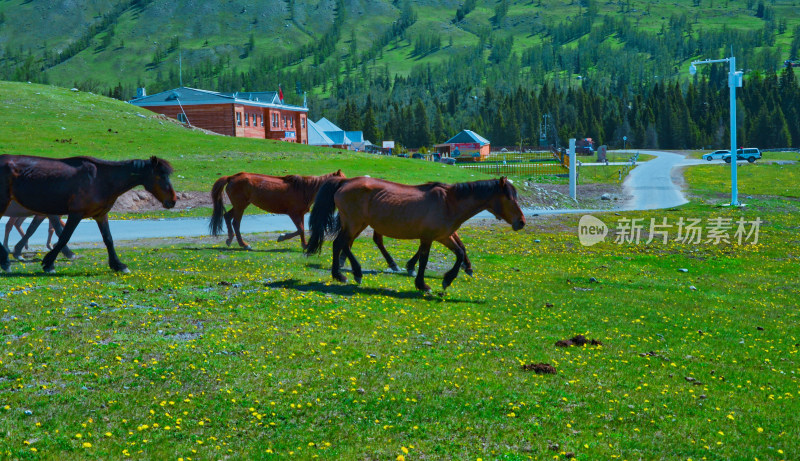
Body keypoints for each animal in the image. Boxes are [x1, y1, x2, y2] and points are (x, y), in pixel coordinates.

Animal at [0, 155, 176, 272]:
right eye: (160, 176)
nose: (173, 201)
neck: (101, 179)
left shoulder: (100, 215)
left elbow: (108, 239)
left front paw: (118, 265)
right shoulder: (76, 214)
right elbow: (64, 236)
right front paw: (49, 263)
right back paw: (6, 262)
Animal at [209, 168, 344, 248]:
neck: (305, 189)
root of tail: (231, 177)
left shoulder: (300, 214)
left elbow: (301, 230)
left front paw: (304, 244)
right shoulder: (293, 213)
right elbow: (300, 229)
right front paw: (282, 237)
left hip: (240, 205)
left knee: (227, 216)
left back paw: (230, 239)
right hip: (240, 206)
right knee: (236, 223)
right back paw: (244, 244)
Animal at [306, 176, 524, 292]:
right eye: (509, 198)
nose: (521, 222)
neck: (449, 202)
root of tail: (345, 181)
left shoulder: (443, 236)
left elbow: (460, 252)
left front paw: (448, 279)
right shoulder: (428, 237)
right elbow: (424, 260)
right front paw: (422, 284)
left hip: (356, 224)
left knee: (341, 244)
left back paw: (342, 274)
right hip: (354, 223)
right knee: (341, 244)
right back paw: (351, 274)